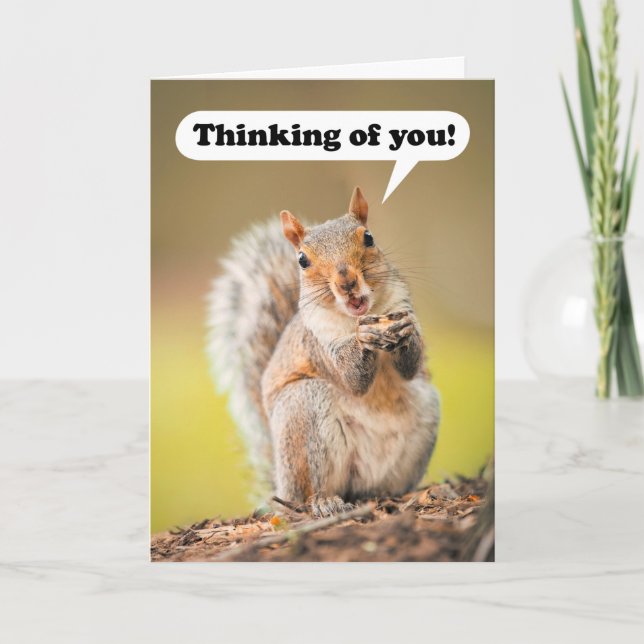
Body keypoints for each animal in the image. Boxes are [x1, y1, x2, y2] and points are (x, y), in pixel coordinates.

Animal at [207, 187, 440, 517]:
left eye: (369, 237)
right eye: (302, 260)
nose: (347, 282)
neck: (358, 316)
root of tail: (280, 484)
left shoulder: (401, 303)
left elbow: (410, 366)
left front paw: (405, 330)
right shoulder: (317, 343)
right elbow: (350, 376)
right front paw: (363, 338)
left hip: (424, 413)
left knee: (376, 487)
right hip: (303, 412)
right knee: (309, 492)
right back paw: (324, 502)